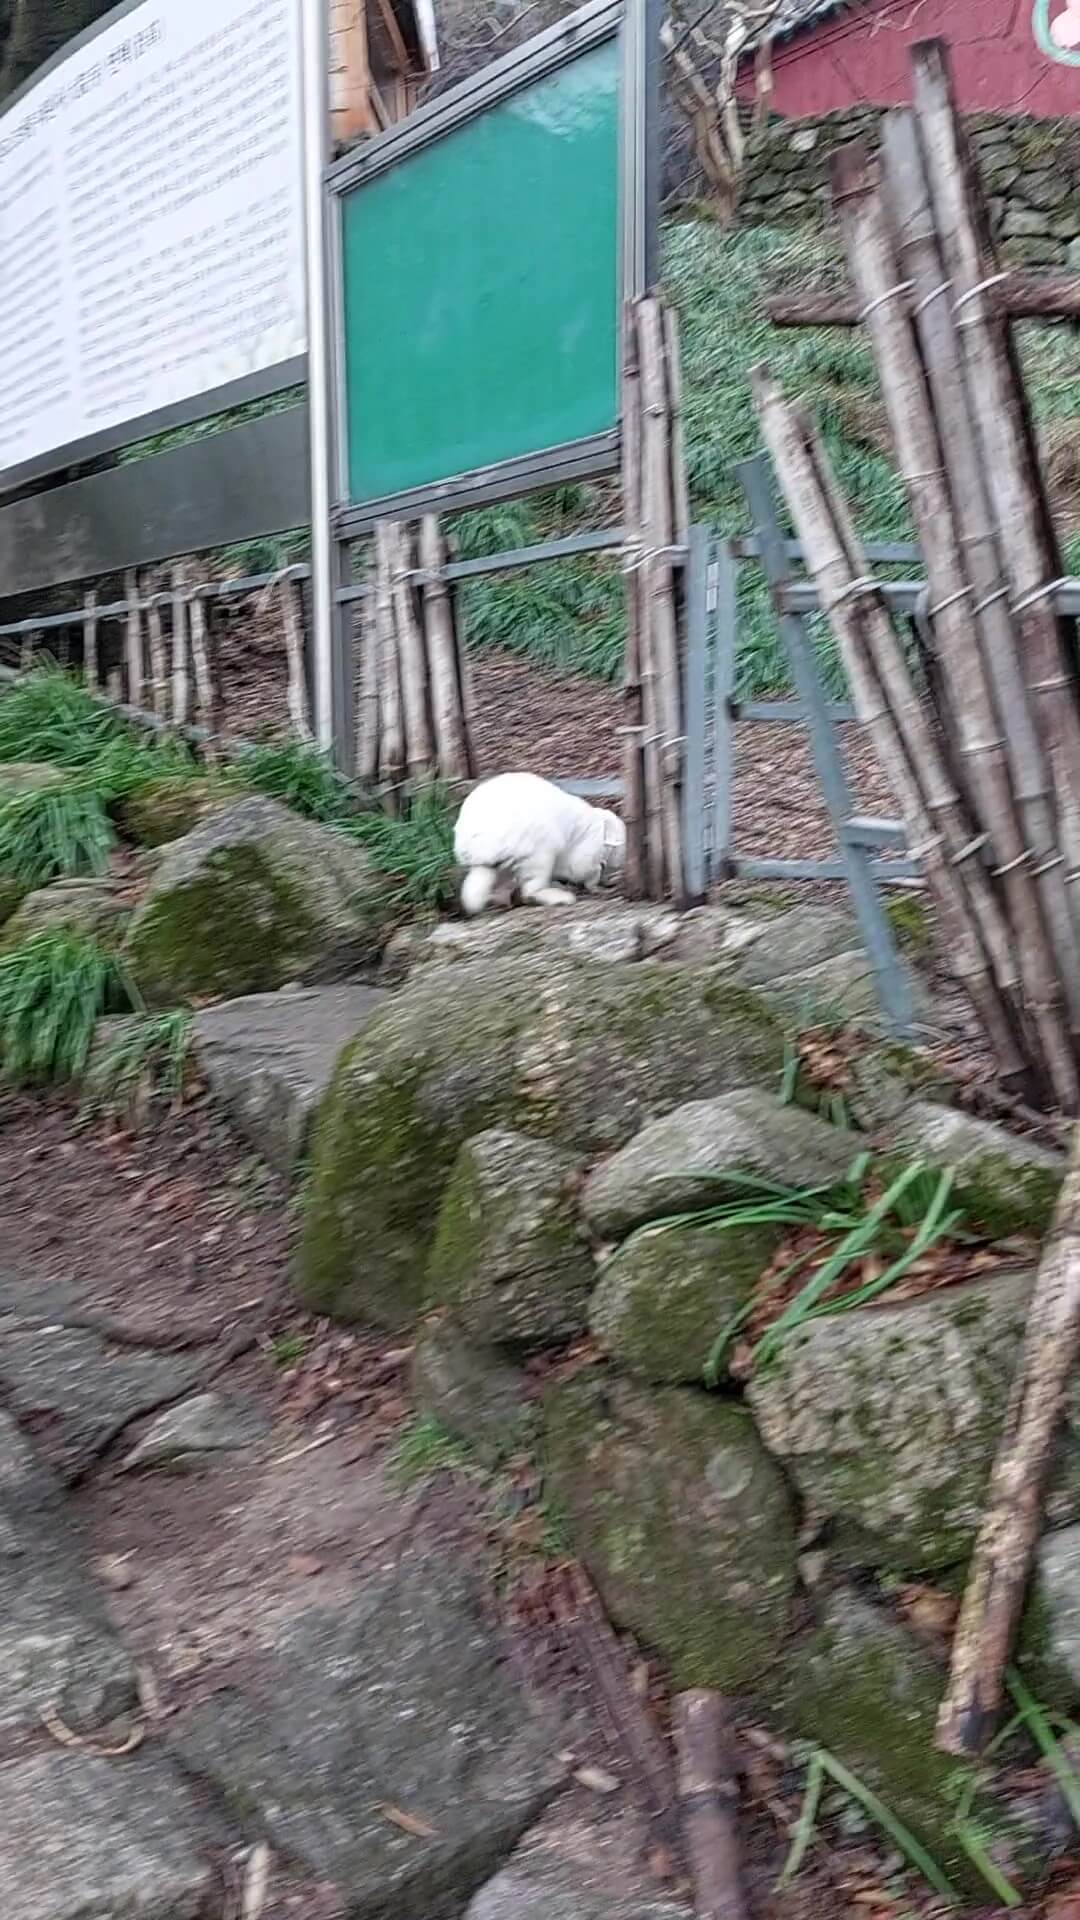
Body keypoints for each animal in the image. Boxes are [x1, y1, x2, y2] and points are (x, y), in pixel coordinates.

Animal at [451, 764, 622, 913]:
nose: (609, 879)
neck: (600, 827)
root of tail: (483, 853)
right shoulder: (585, 850)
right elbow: (585, 871)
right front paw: (595, 886)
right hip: (538, 855)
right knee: (531, 889)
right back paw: (562, 898)